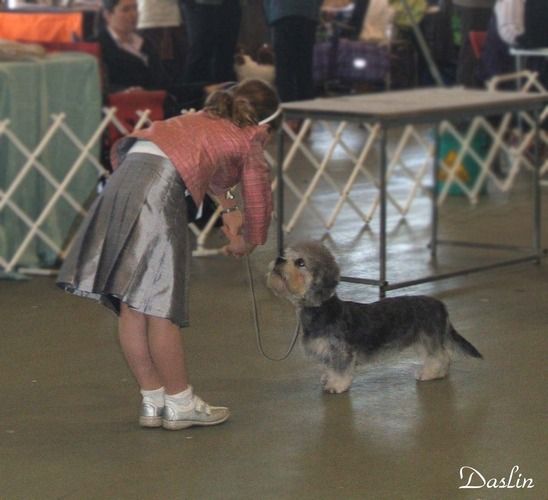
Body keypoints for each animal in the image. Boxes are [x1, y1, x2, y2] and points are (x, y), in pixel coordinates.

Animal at [266, 241, 483, 394]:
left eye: (300, 262)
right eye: (286, 254)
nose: (278, 259)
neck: (323, 309)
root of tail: (441, 305)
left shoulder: (340, 352)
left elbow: (340, 370)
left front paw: (336, 385)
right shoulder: (327, 352)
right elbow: (329, 368)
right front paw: (327, 379)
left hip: (429, 339)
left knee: (440, 356)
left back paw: (429, 374)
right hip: (423, 340)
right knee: (443, 356)